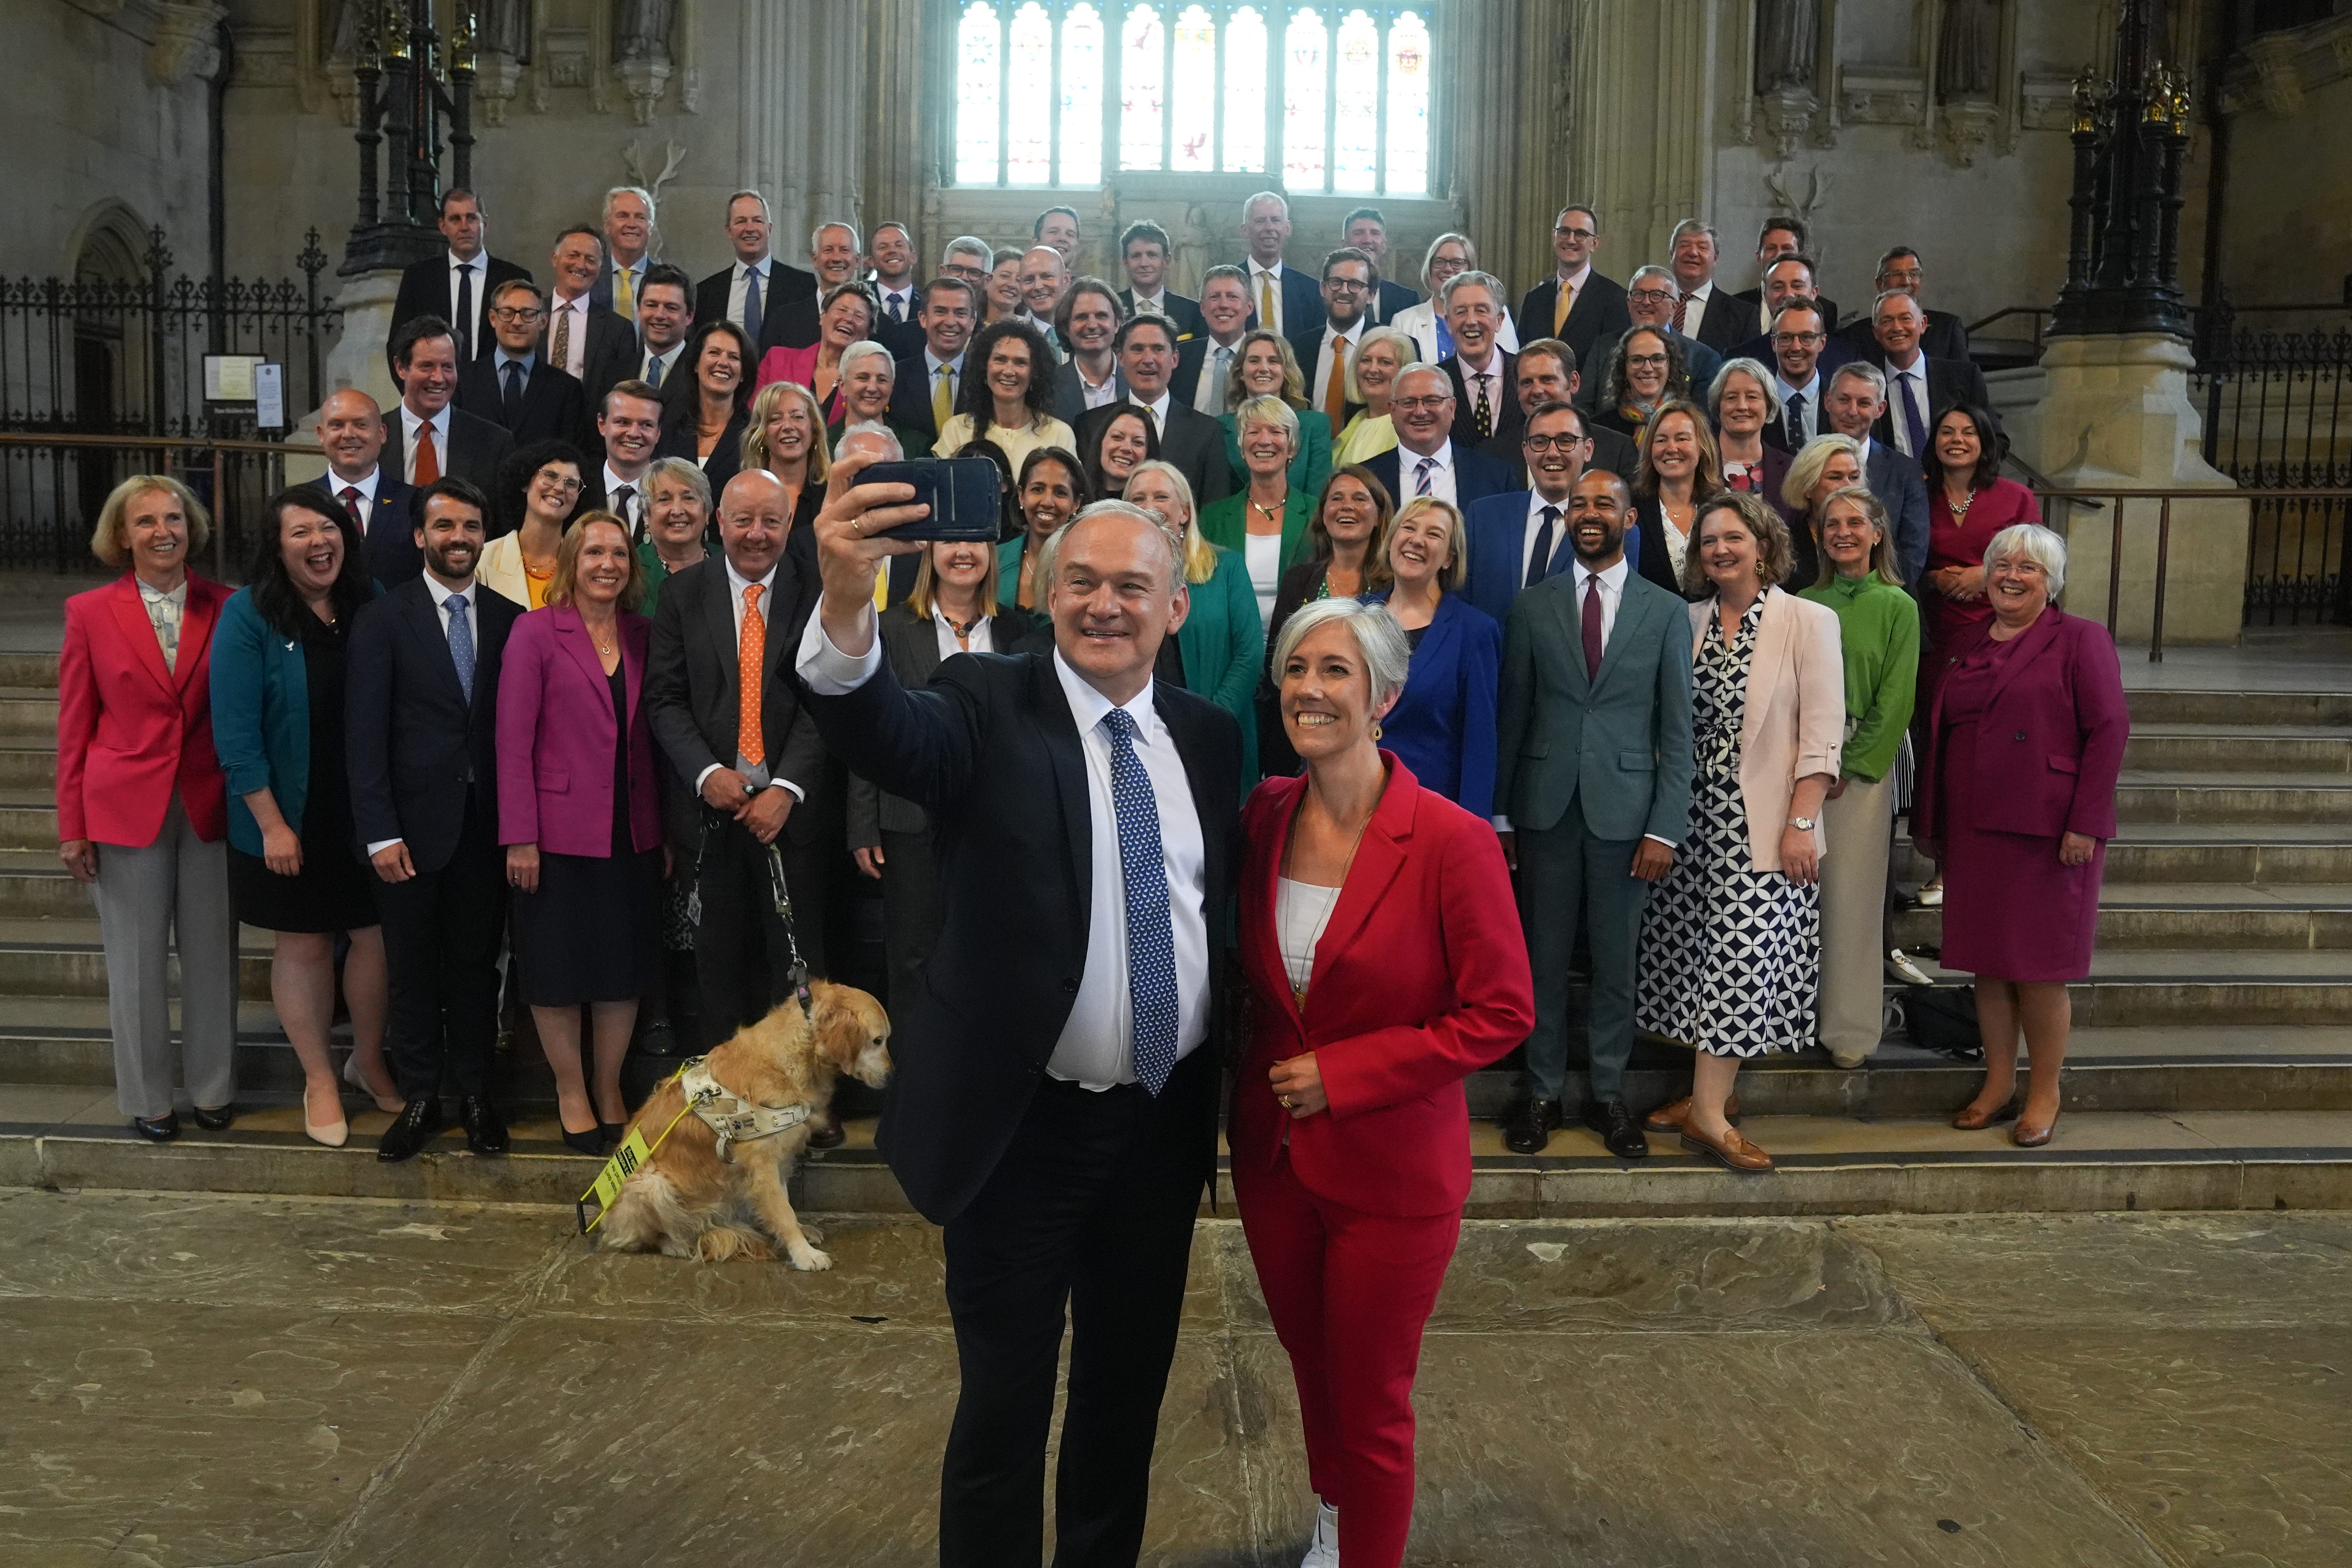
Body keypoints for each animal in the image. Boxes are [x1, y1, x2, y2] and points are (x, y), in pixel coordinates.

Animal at [597, 987, 889, 1269]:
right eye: (878, 1041)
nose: (891, 1076)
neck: (785, 1062)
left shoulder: (779, 1158)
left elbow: (785, 1205)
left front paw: (801, 1234)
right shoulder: (761, 1164)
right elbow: (783, 1213)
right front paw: (806, 1255)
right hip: (651, 1185)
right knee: (652, 1238)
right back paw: (678, 1244)